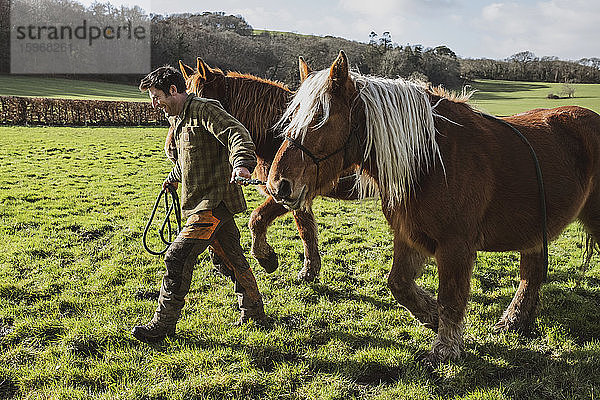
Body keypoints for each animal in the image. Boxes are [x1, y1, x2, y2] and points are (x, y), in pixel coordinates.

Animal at [179, 58, 360, 282]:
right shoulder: (295, 194)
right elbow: (306, 229)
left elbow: (257, 219)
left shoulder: (287, 193)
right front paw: (310, 268)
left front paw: (267, 258)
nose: (172, 149)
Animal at [268, 50, 600, 362]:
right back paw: (514, 321)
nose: (278, 185)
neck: (430, 160)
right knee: (532, 272)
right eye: (292, 117)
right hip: (533, 230)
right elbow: (399, 284)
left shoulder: (455, 246)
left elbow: (450, 298)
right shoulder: (408, 235)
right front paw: (431, 317)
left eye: (319, 119)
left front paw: (445, 348)